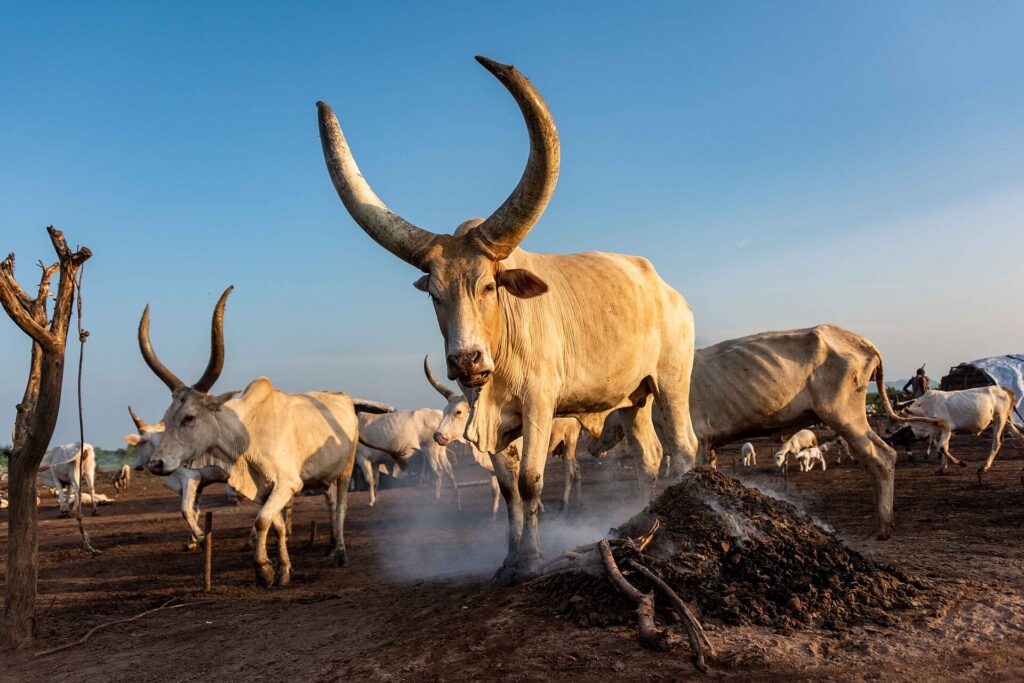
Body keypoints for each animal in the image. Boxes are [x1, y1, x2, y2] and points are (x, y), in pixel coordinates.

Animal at [138, 287, 380, 587]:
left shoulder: (287, 484)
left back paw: (340, 553)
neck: (246, 436)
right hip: (325, 475)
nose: (156, 464)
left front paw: (263, 570)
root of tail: (345, 398)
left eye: (189, 418)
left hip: (346, 469)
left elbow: (263, 521)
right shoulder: (263, 489)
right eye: (167, 417)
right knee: (331, 502)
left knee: (342, 507)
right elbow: (276, 525)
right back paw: (330, 546)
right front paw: (283, 569)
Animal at [319, 57, 699, 582]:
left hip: (671, 380)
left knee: (683, 448)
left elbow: (531, 481)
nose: (467, 361)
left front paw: (532, 561)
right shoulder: (491, 419)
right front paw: (509, 560)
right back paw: (638, 519)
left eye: (487, 286)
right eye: (434, 295)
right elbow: (508, 489)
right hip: (632, 397)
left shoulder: (541, 404)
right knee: (649, 456)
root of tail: (670, 294)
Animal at [590, 326, 946, 537]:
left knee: (882, 456)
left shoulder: (693, 440)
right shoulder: (709, 445)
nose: (591, 447)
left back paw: (882, 526)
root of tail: (861, 341)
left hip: (845, 414)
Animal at [889, 387, 1023, 479]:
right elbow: (943, 448)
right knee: (1021, 435)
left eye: (895, 415)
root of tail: (1006, 390)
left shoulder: (947, 428)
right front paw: (942, 468)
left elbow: (942, 447)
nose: (886, 430)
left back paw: (984, 467)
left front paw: (960, 463)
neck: (925, 407)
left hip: (999, 420)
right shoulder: (939, 431)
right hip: (1006, 421)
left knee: (997, 442)